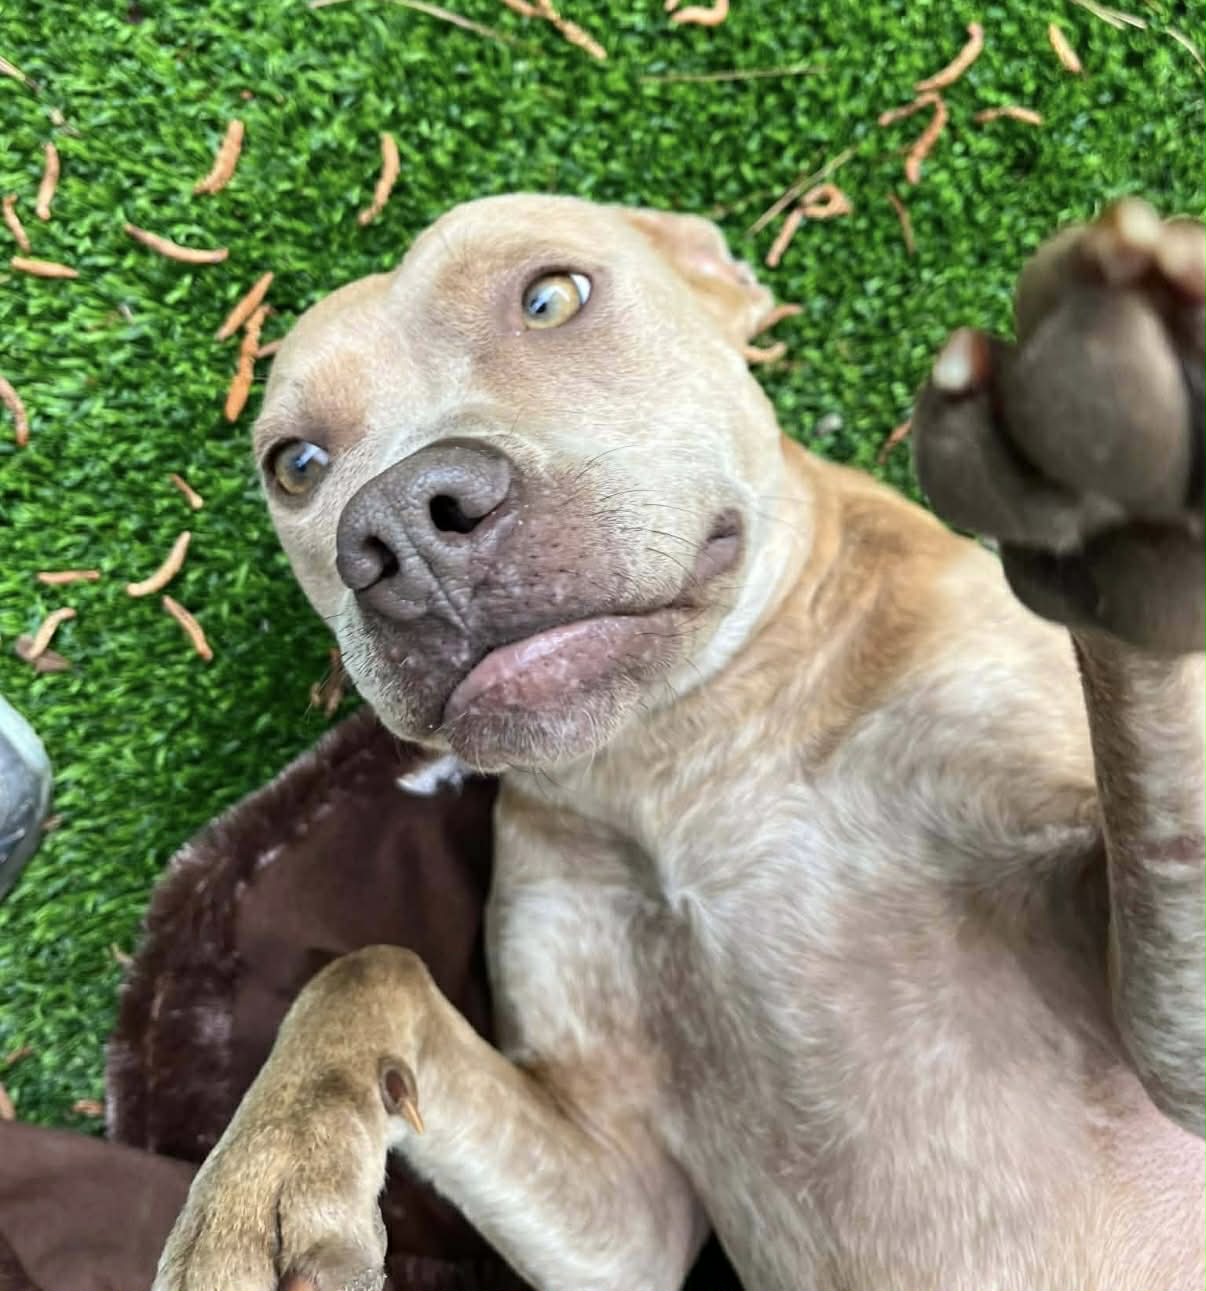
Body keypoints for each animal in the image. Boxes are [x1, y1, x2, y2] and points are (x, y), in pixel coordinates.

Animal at [155, 194, 1206, 1291]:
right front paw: (262, 1173)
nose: (400, 522)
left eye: (550, 296)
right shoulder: (627, 1216)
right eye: (296, 465)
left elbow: (1162, 802)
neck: (687, 755)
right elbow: (363, 970)